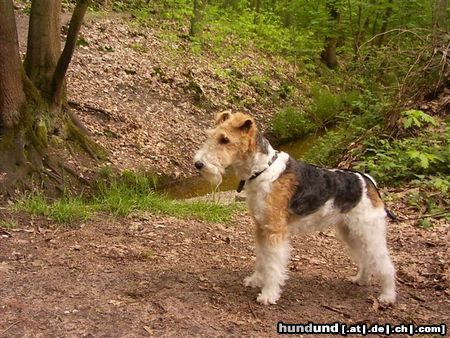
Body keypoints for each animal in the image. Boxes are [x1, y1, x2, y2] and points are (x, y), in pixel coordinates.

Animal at [193, 111, 394, 306]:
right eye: (211, 136)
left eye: (225, 139)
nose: (198, 164)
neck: (262, 171)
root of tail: (367, 181)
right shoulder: (261, 227)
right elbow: (262, 258)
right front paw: (256, 280)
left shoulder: (275, 230)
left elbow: (273, 265)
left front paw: (268, 294)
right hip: (351, 232)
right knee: (366, 258)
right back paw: (361, 279)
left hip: (368, 231)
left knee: (386, 263)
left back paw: (388, 296)